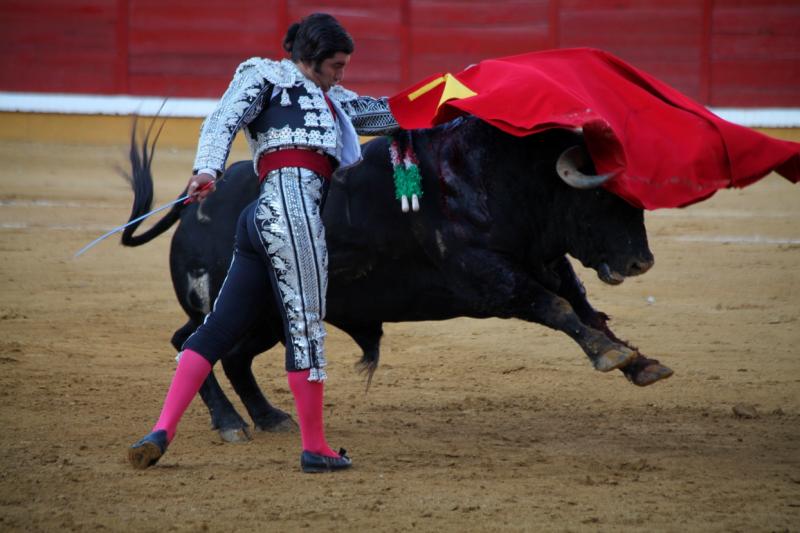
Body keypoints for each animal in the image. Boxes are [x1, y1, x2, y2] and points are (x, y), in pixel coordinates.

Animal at [123, 116, 676, 440]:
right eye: (600, 195)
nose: (641, 263)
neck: (505, 177)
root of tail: (194, 203)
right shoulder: (488, 276)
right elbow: (556, 308)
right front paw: (611, 356)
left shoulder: (547, 262)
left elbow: (584, 308)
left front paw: (641, 362)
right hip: (234, 304)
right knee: (191, 342)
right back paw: (231, 424)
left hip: (268, 318)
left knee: (230, 354)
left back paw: (269, 418)